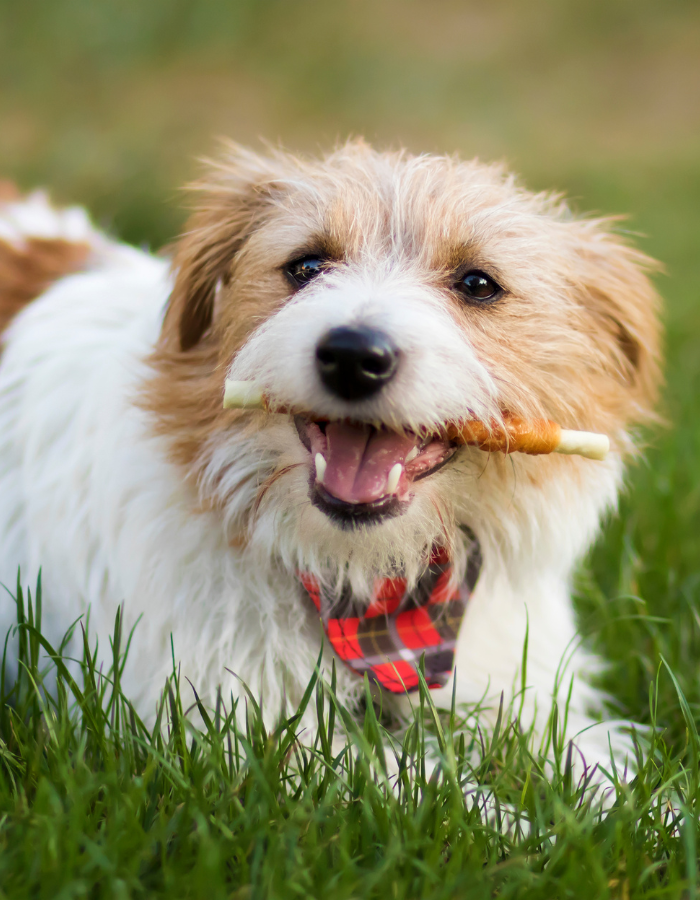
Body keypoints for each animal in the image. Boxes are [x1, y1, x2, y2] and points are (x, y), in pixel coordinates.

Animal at [0, 144, 660, 776]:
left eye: (477, 284)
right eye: (307, 266)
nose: (352, 355)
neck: (372, 588)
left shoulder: (527, 695)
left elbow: (600, 771)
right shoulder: (225, 731)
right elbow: (426, 787)